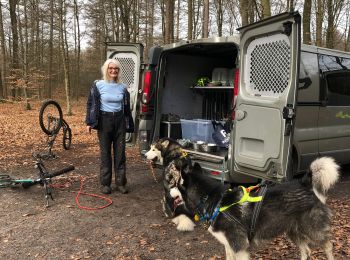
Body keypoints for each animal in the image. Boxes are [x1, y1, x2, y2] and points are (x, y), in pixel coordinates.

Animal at [145, 137, 340, 258]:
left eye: (173, 184)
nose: (167, 191)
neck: (213, 200)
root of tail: (305, 182)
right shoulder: (229, 246)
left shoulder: (239, 247)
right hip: (293, 232)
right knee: (306, 250)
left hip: (313, 230)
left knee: (328, 246)